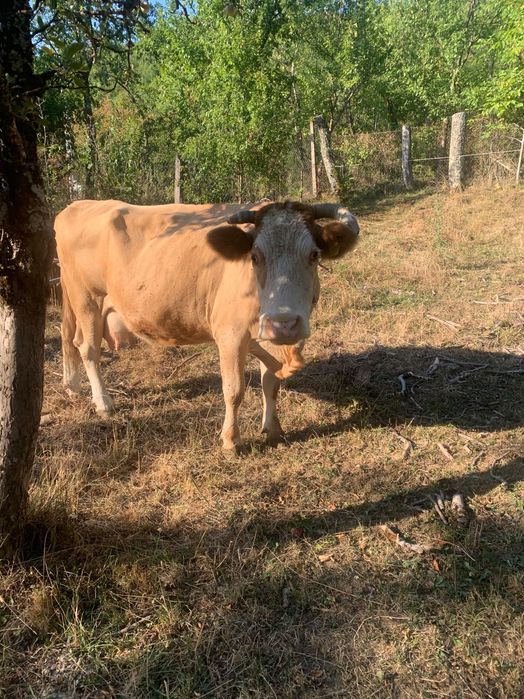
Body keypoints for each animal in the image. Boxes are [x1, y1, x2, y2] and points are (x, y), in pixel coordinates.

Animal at [54, 200, 359, 450]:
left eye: (314, 255)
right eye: (255, 256)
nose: (284, 324)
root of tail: (77, 206)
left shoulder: (265, 337)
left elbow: (270, 383)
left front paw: (273, 429)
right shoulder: (230, 335)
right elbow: (234, 389)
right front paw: (230, 441)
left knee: (73, 340)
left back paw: (73, 386)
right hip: (86, 299)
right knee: (88, 349)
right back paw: (104, 403)